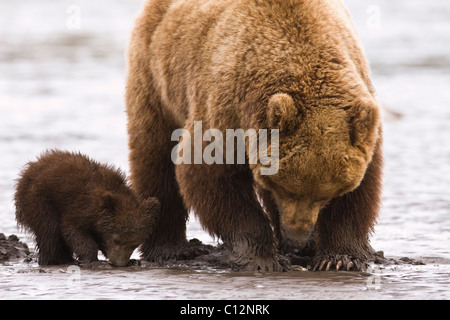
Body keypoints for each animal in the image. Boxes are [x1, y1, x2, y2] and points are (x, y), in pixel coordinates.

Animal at [126, 0, 384, 272]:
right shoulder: (225, 106)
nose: (296, 240)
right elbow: (211, 175)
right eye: (288, 190)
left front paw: (339, 258)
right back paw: (171, 249)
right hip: (155, 79)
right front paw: (261, 258)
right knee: (155, 159)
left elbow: (360, 189)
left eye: (325, 196)